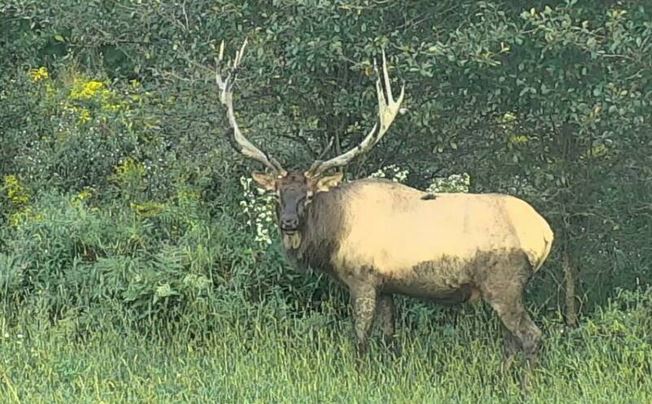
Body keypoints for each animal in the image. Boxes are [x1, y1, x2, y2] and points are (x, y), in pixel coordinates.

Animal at [214, 40, 554, 368]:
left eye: (308, 196)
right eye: (277, 194)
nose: (288, 222)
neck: (333, 236)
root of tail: (545, 235)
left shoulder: (362, 278)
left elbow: (361, 339)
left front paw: (359, 374)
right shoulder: (388, 286)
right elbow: (390, 338)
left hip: (504, 281)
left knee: (531, 337)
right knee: (511, 341)